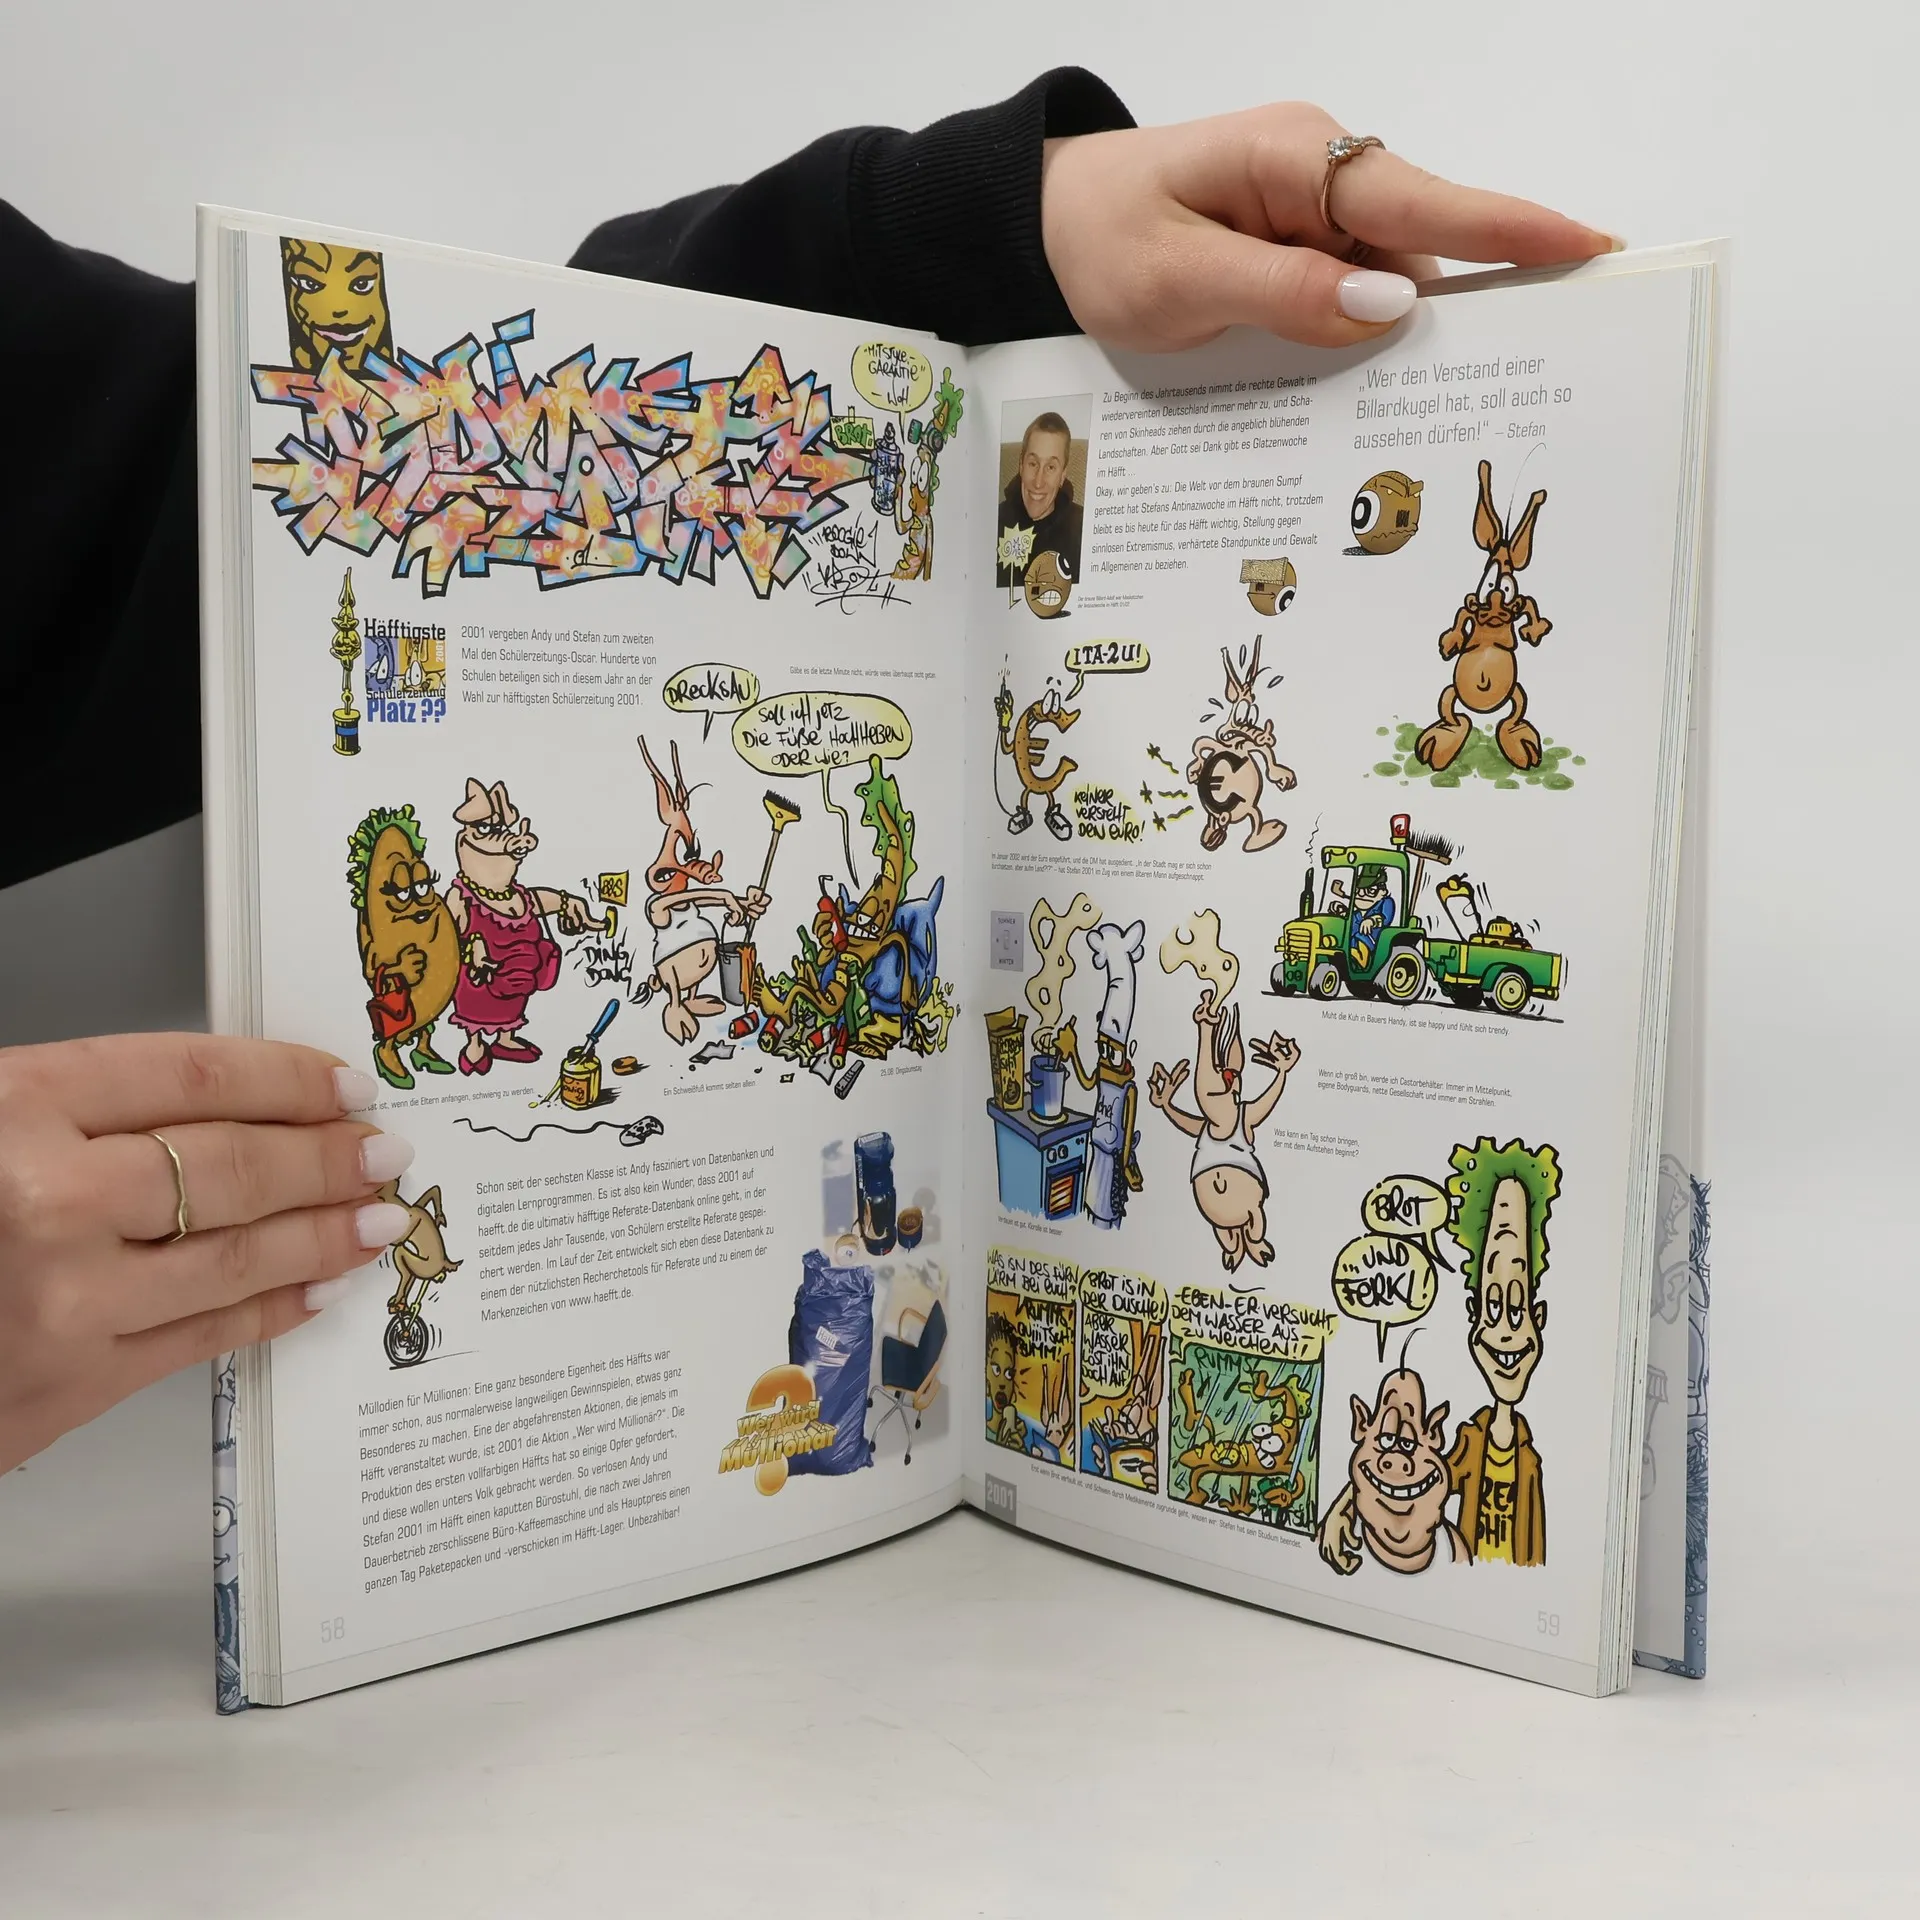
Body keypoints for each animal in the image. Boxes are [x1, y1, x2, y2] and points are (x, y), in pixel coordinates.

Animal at [1187, 634, 1295, 853]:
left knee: (1254, 820)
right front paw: (1194, 770)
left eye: (1252, 712)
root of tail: (1224, 816)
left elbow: (1268, 756)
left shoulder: (1250, 746)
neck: (1236, 743)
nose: (1245, 727)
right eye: (1241, 708)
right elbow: (1201, 745)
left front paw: (1282, 776)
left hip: (1247, 808)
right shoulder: (1222, 744)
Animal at [1416, 460, 1552, 774]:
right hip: (1453, 691)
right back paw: (1441, 739)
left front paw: (1534, 630)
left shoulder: (1517, 607)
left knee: (1514, 713)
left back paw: (1519, 740)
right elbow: (1463, 613)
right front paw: (1450, 642)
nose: (1495, 599)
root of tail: (1481, 710)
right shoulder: (1472, 608)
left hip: (1514, 692)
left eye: (1507, 586)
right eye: (1490, 583)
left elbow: (1528, 606)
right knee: (1450, 710)